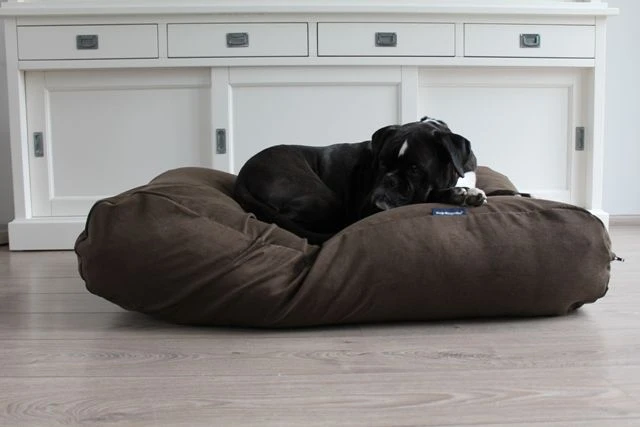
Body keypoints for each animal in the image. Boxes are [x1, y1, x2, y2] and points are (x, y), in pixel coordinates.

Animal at [234, 117, 486, 244]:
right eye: (382, 163)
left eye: (415, 169)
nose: (388, 180)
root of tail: (243, 173)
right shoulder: (369, 208)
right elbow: (425, 197)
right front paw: (461, 194)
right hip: (324, 199)